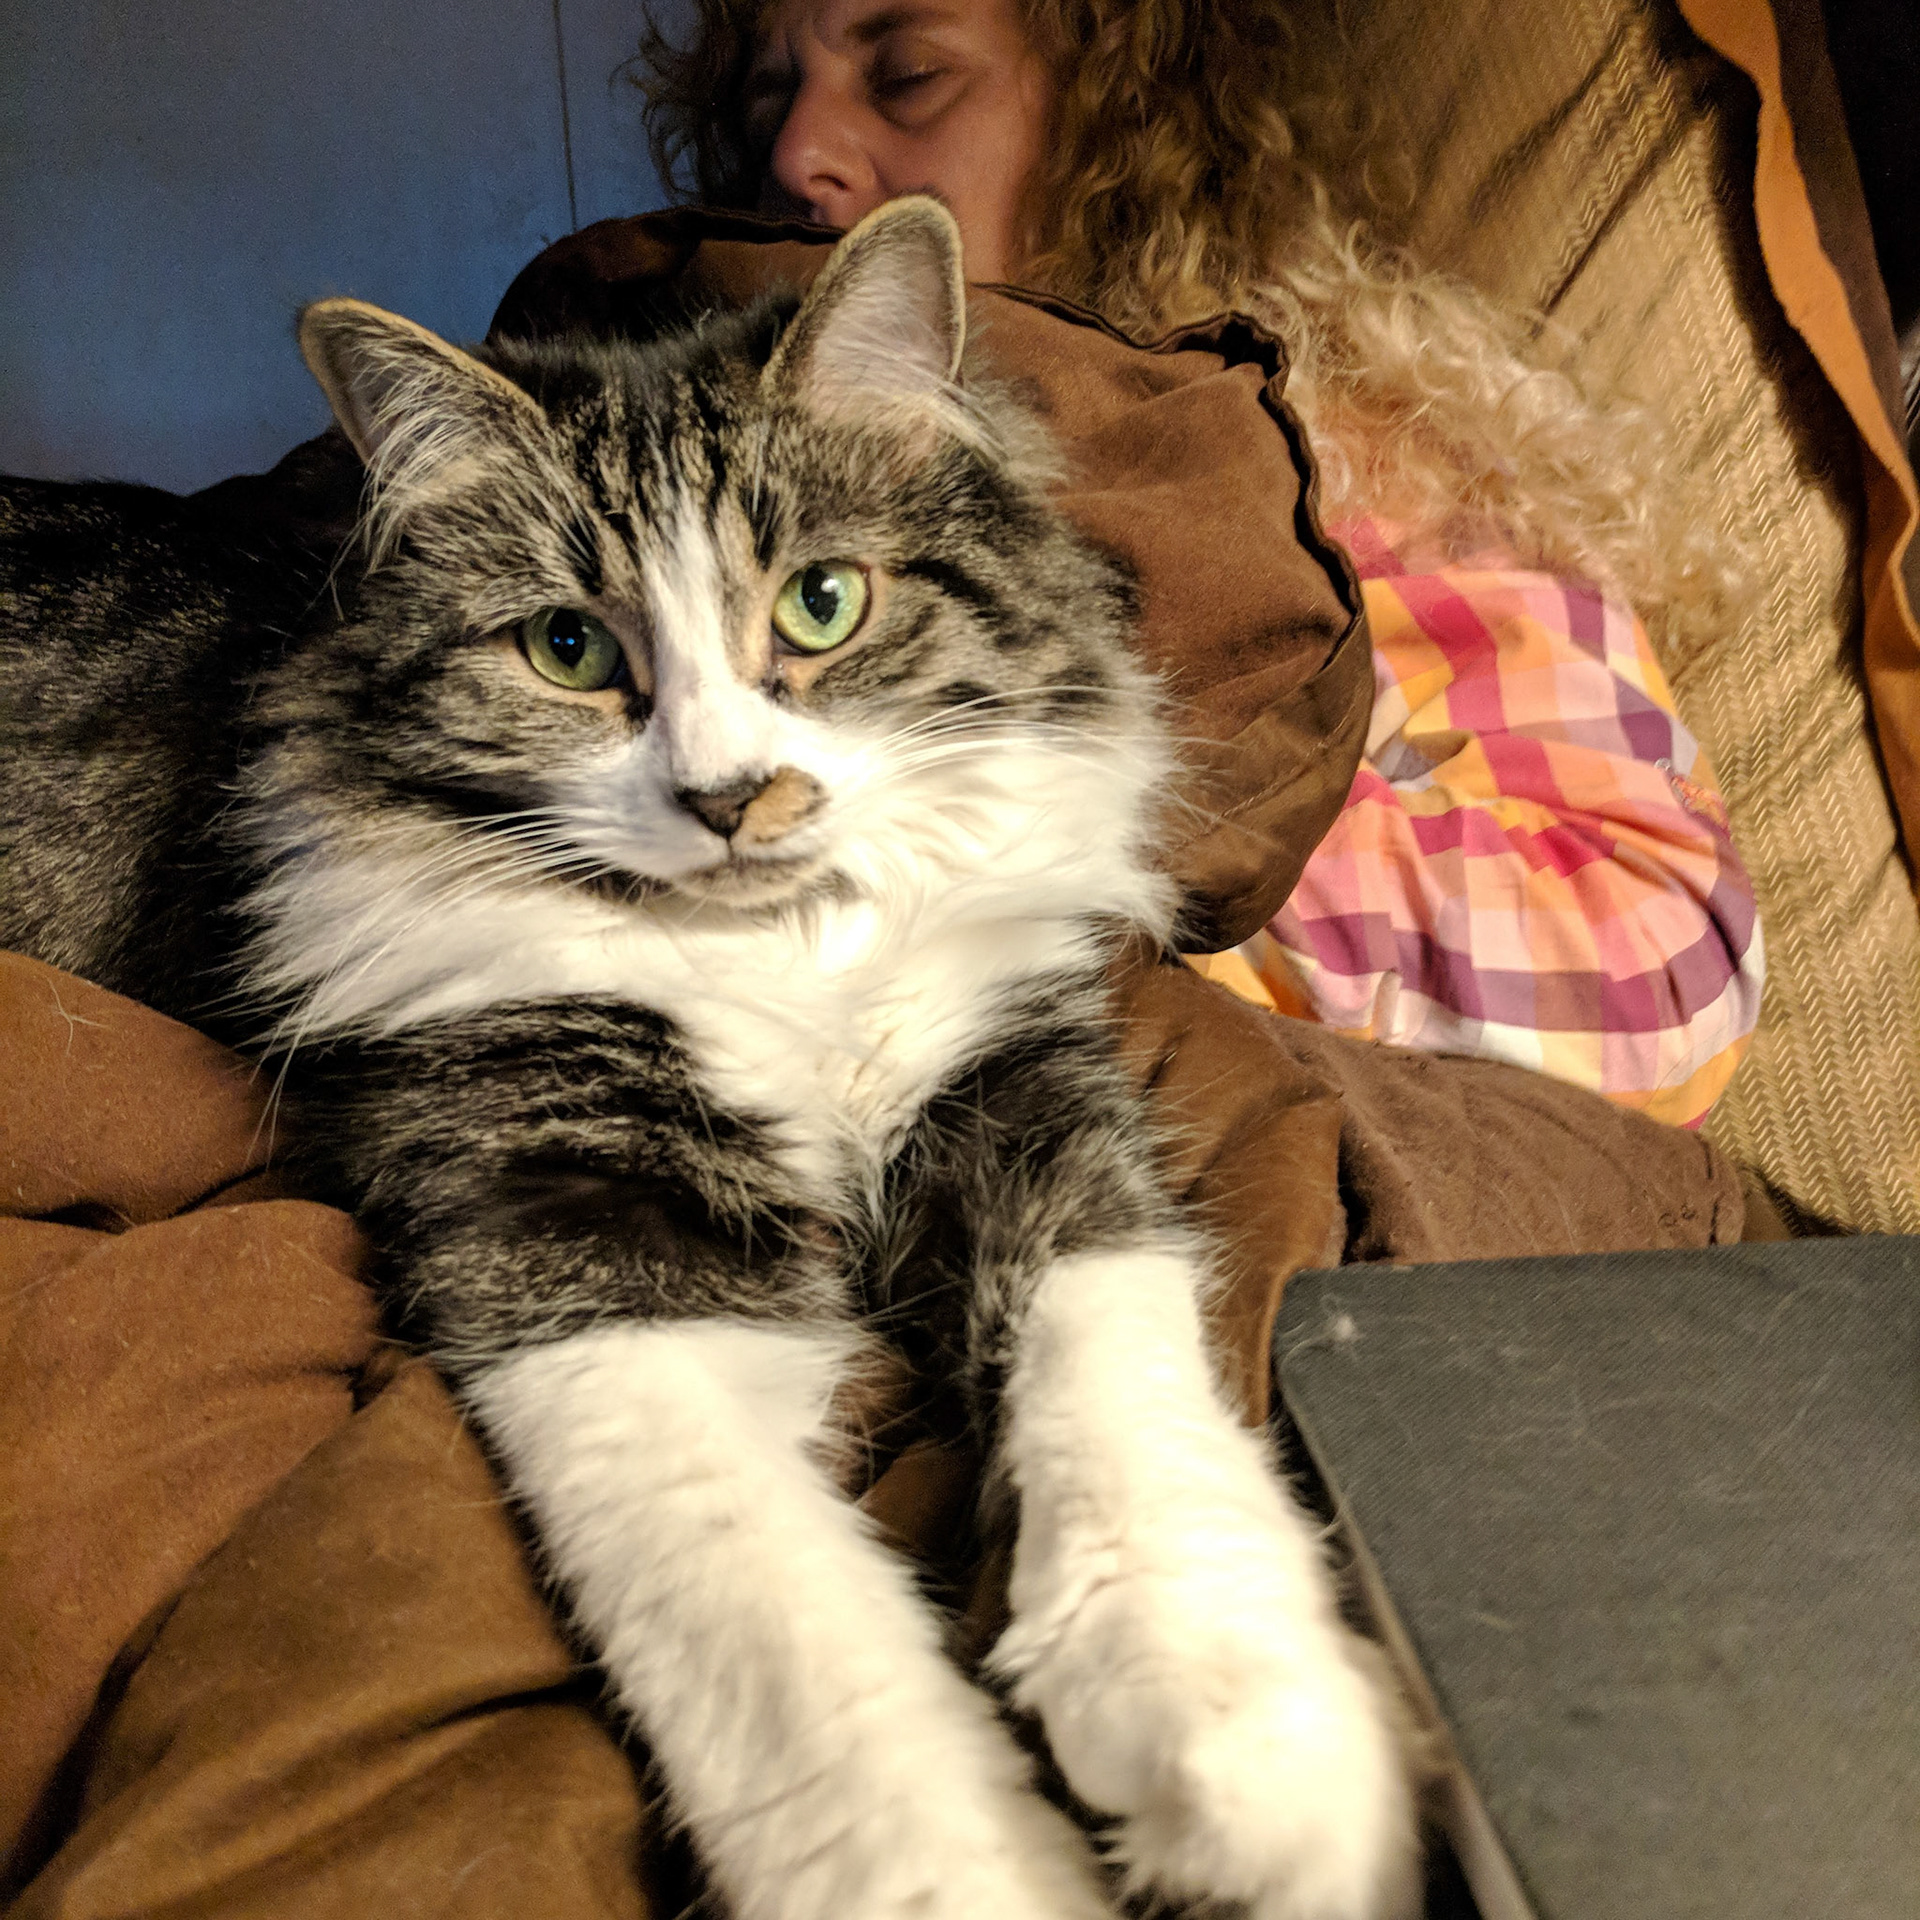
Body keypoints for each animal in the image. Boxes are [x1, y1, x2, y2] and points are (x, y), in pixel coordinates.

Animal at [0, 198, 1416, 1920]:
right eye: (566, 648)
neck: (783, 950)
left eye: (821, 604)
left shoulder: (1019, 1087)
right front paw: (982, 1871)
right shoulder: (587, 1238)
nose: (733, 799)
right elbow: (804, 1656)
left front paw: (1242, 1755)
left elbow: (1119, 1380)